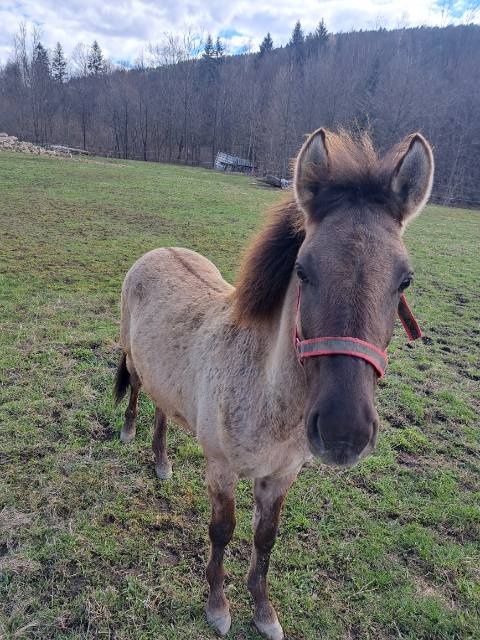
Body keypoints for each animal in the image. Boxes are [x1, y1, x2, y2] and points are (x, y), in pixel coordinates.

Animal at [114, 127, 434, 636]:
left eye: (404, 280)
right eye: (303, 270)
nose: (344, 433)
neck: (267, 399)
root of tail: (160, 250)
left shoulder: (282, 476)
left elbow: (265, 538)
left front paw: (264, 612)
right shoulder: (222, 469)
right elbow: (222, 531)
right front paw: (218, 607)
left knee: (163, 405)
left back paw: (161, 462)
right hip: (130, 347)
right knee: (139, 385)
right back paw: (128, 431)